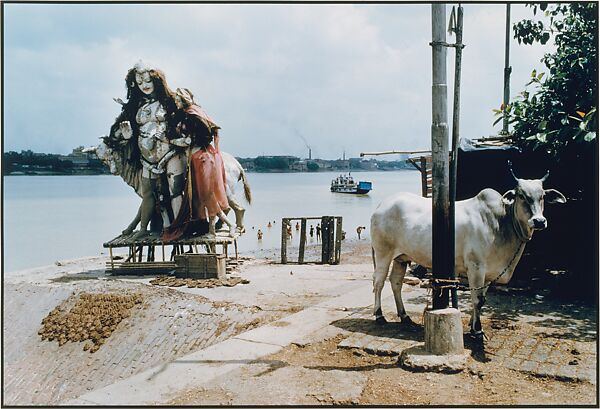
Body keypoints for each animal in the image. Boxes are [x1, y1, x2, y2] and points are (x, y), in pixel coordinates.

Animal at [370, 166, 568, 338]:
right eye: (521, 195)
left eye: (542, 196)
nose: (539, 221)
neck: (501, 223)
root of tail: (382, 205)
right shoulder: (476, 267)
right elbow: (478, 300)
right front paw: (478, 331)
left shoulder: (489, 273)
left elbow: (481, 299)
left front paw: (473, 327)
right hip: (383, 253)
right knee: (378, 282)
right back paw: (379, 315)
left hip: (401, 258)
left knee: (396, 282)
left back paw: (404, 316)